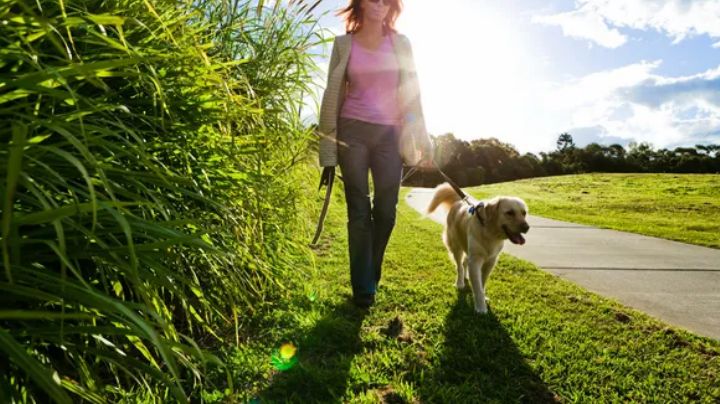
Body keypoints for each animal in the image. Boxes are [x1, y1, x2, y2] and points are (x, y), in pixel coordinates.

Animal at [428, 183, 528, 312]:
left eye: (524, 213)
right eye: (509, 212)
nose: (527, 227)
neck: (489, 231)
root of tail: (459, 201)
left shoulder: (490, 261)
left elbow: (482, 283)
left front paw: (483, 298)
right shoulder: (475, 260)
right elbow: (477, 286)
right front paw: (481, 308)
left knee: (464, 263)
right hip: (456, 247)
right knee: (459, 266)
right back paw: (460, 283)